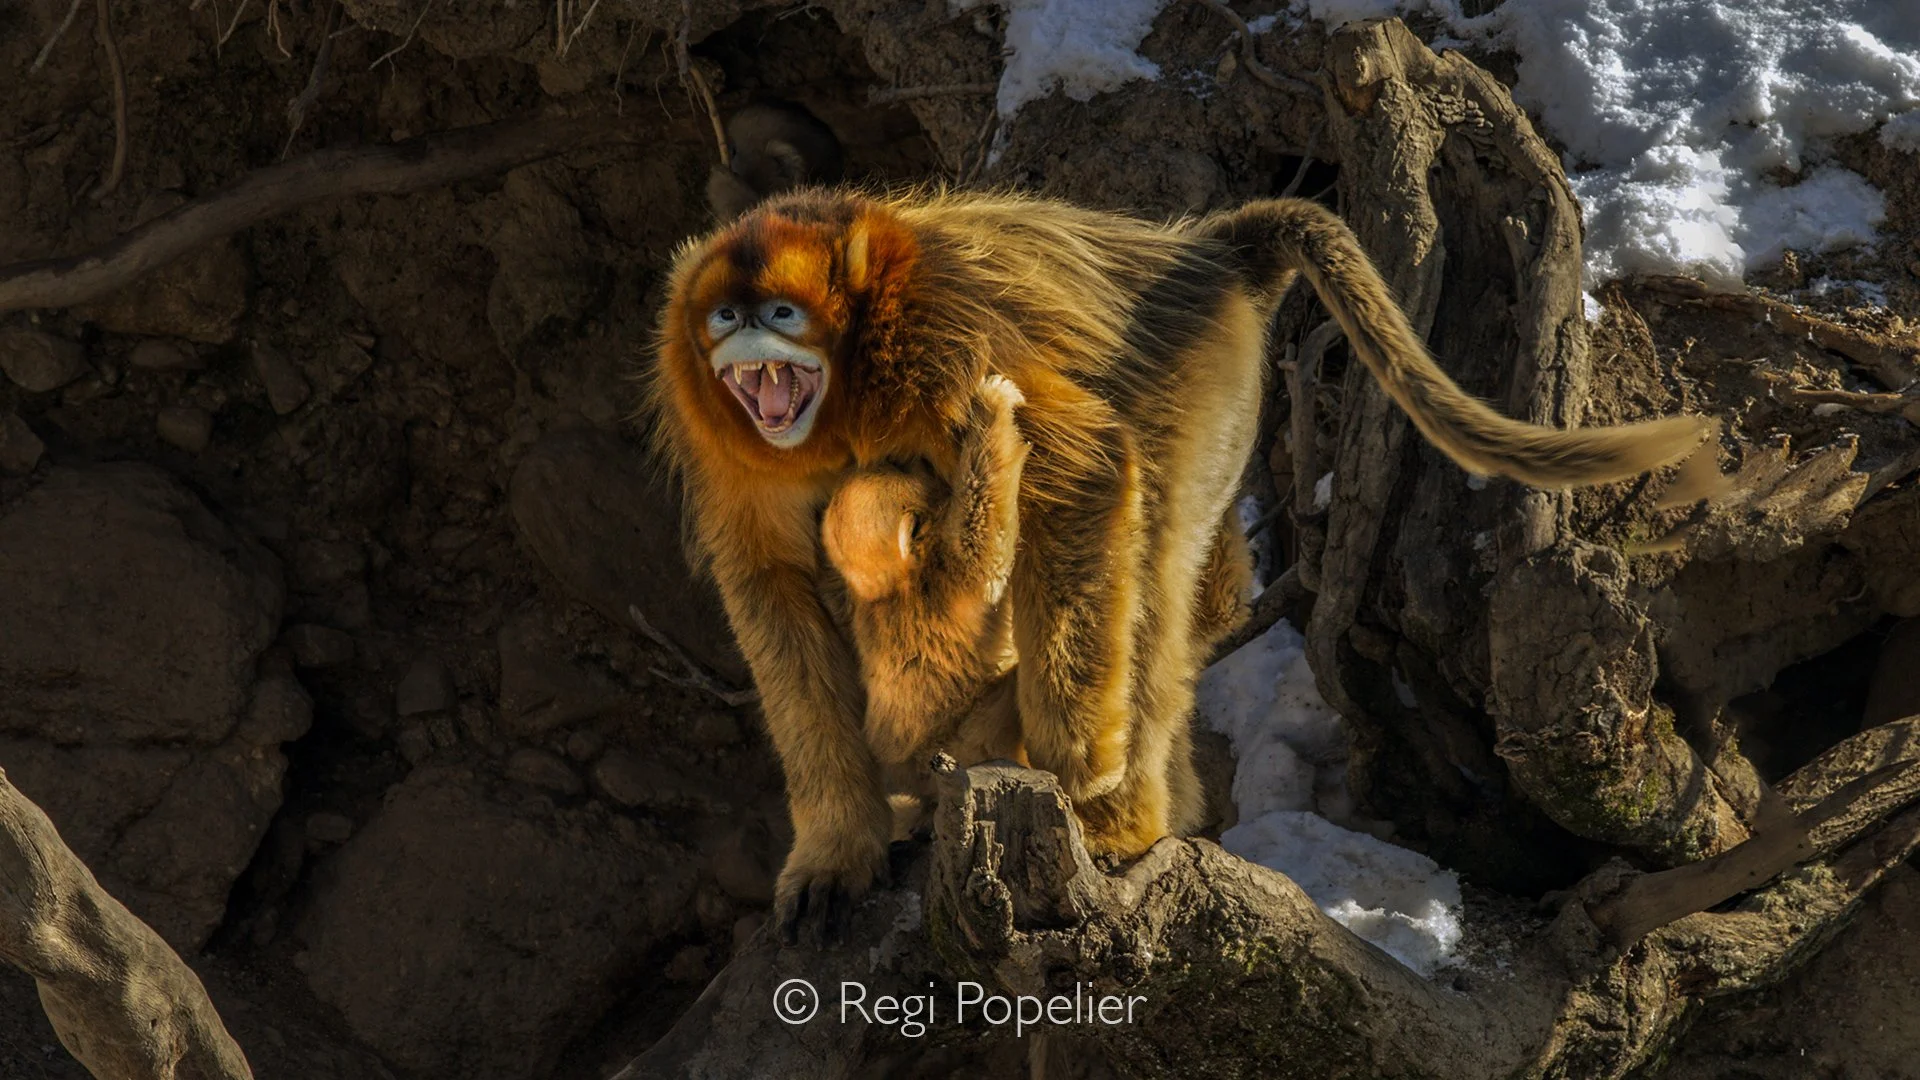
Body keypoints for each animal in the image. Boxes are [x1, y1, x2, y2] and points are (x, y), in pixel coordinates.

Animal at [645, 188, 1713, 946]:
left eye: (781, 312)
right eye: (725, 318)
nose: (745, 333)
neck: (856, 374)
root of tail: (1205, 254)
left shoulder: (943, 332)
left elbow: (1081, 471)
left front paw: (1080, 769)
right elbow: (770, 584)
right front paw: (837, 846)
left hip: (1204, 369)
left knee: (1146, 561)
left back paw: (1120, 818)